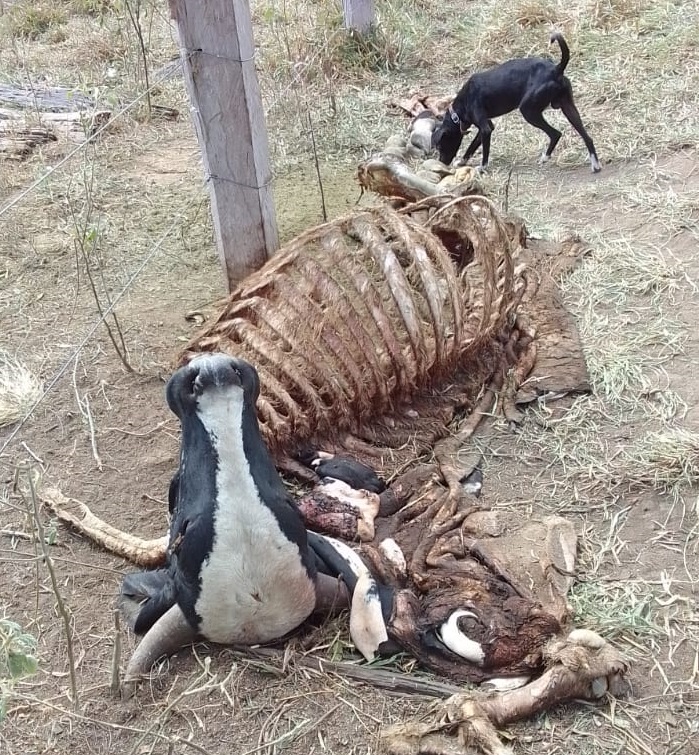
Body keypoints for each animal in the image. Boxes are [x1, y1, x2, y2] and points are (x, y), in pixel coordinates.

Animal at [432, 33, 600, 173]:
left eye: (440, 146)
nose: (441, 163)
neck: (459, 110)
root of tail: (556, 69)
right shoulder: (487, 126)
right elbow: (472, 147)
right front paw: (462, 161)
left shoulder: (485, 129)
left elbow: (484, 151)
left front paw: (482, 167)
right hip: (568, 107)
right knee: (587, 137)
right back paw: (595, 164)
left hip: (528, 111)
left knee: (555, 134)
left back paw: (545, 157)